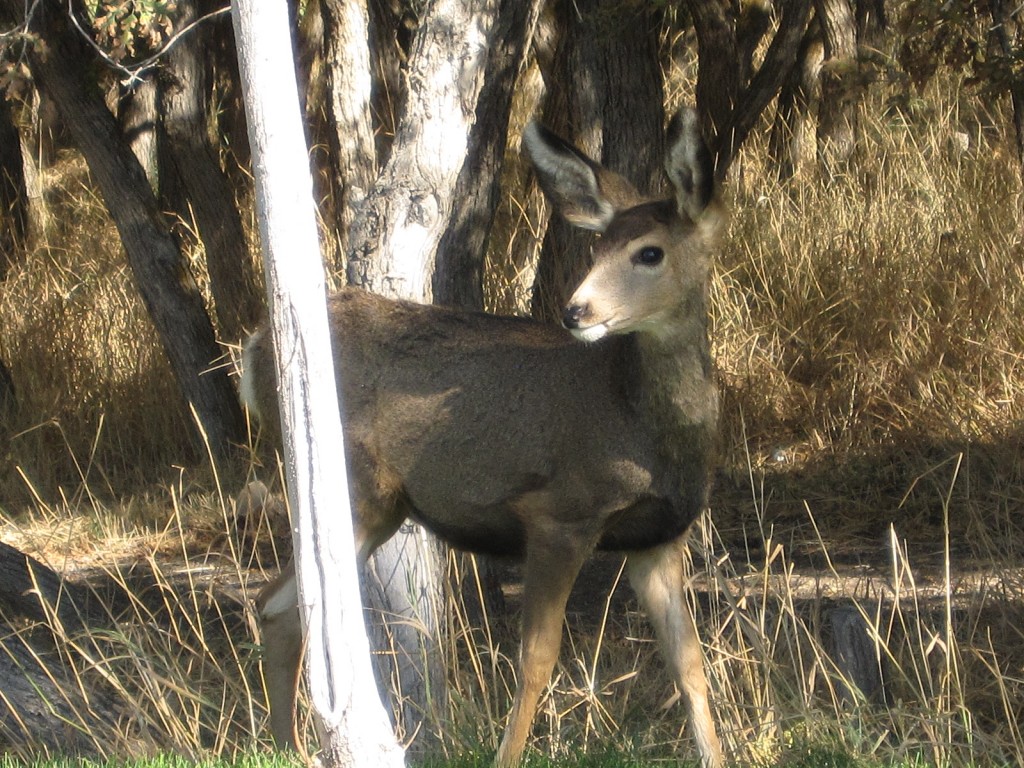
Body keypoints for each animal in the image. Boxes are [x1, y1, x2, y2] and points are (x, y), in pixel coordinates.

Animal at [237, 108, 729, 768]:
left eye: (649, 252)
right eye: (597, 247)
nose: (576, 310)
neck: (647, 432)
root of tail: (255, 349)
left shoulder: (659, 536)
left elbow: (689, 663)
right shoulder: (559, 513)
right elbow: (537, 661)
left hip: (377, 506)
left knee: (279, 610)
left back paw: (288, 747)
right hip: (351, 485)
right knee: (286, 606)